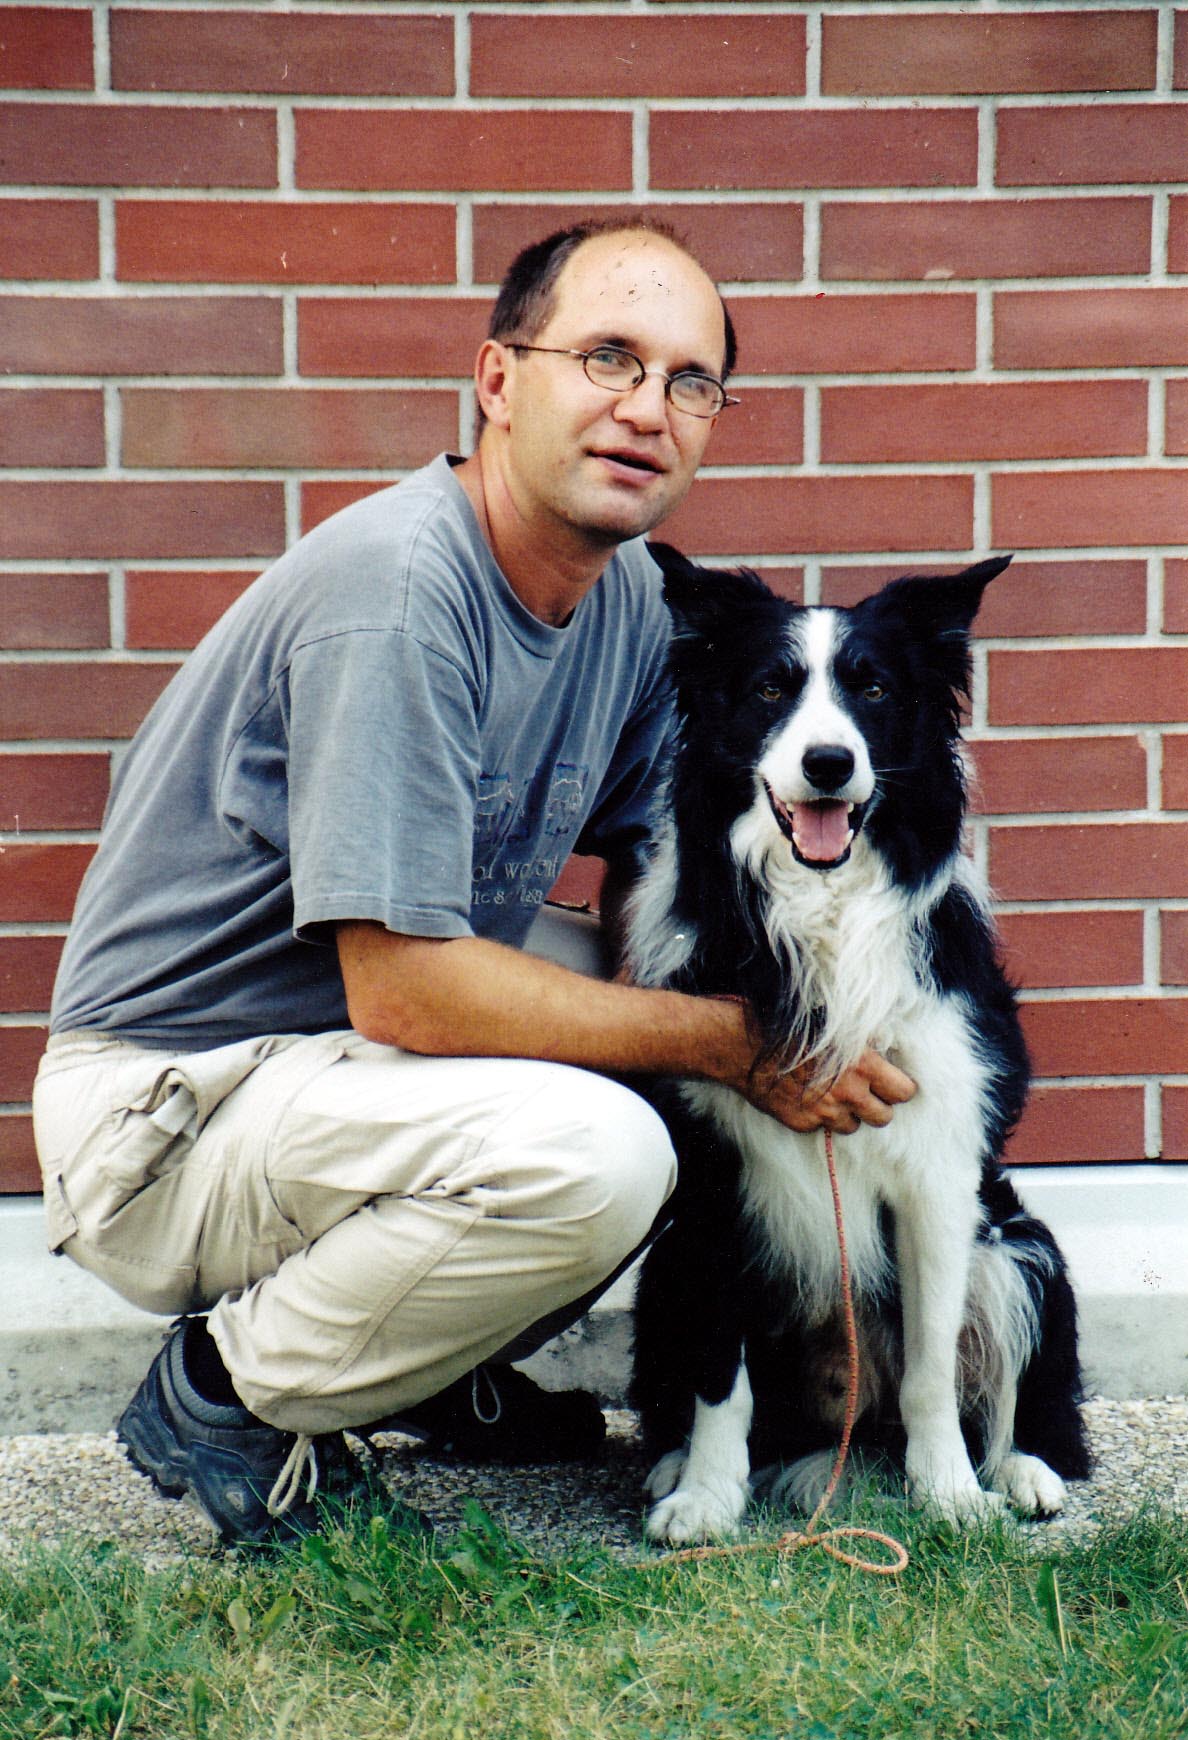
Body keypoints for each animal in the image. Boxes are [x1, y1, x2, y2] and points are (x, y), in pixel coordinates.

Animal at [623, 545, 1091, 1545]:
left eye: (873, 688)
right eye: (770, 688)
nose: (830, 763)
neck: (826, 908)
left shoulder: (940, 1175)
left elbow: (930, 1370)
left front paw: (949, 1495)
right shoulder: (714, 1187)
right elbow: (721, 1377)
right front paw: (707, 1498)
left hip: (1022, 1245)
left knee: (1011, 1394)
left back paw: (1022, 1471)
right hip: (666, 1266)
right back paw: (678, 1463)